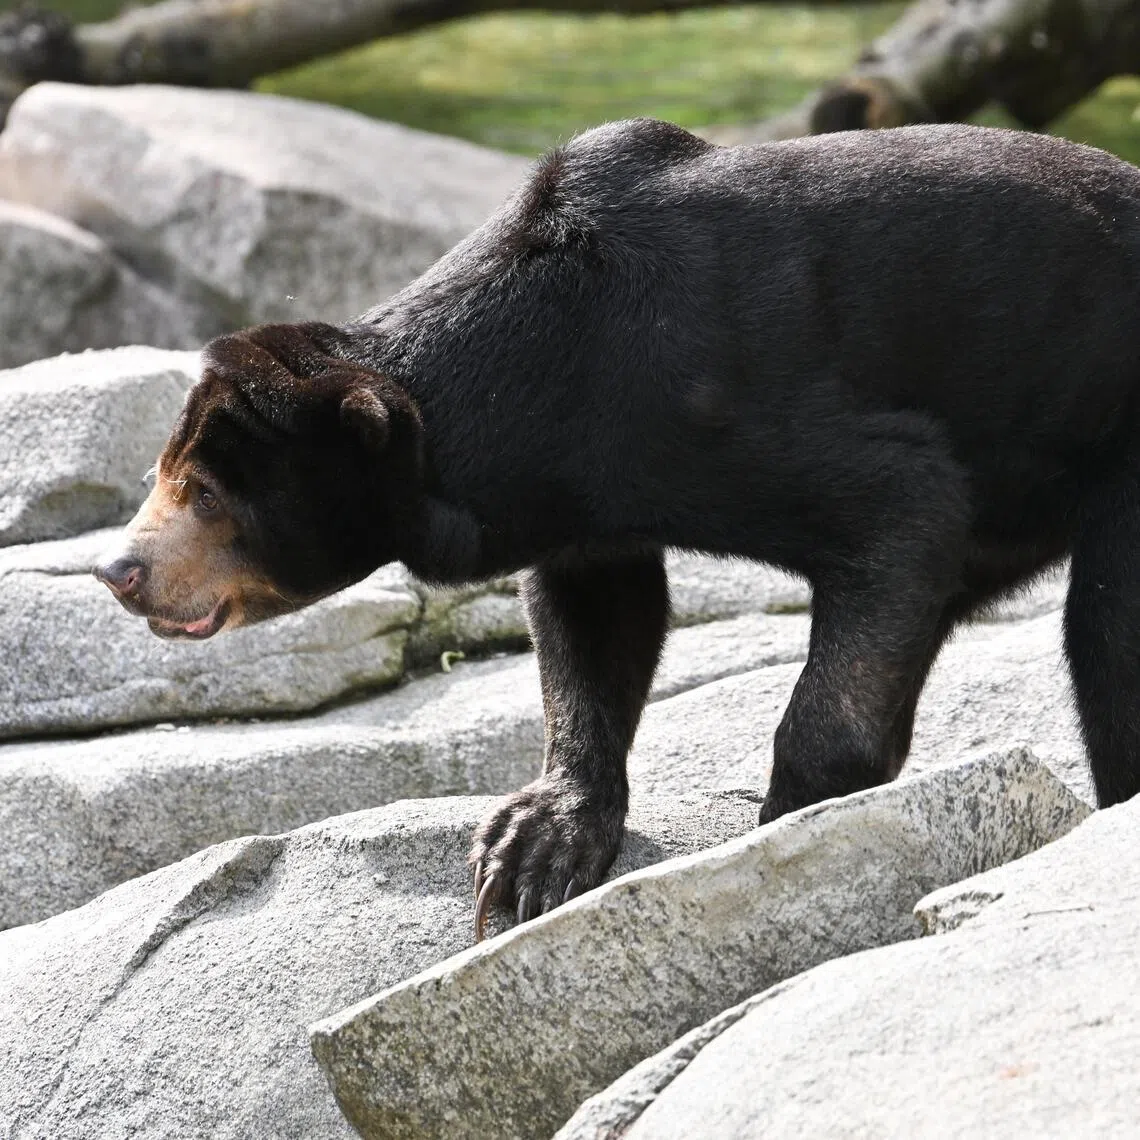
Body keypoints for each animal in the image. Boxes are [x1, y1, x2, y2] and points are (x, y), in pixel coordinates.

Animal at [97, 119, 1140, 940]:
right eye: (160, 476)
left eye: (204, 492)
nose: (118, 570)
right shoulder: (581, 491)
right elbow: (597, 618)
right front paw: (533, 849)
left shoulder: (713, 407)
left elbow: (904, 503)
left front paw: (787, 825)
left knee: (1103, 634)